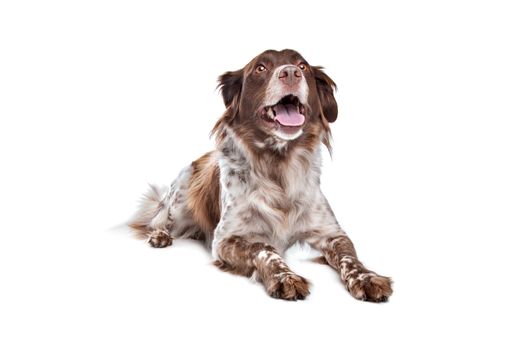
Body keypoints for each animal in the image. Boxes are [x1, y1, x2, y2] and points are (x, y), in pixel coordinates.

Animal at [130, 48, 390, 300]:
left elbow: (349, 257)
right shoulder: (226, 238)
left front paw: (366, 278)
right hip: (180, 199)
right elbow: (264, 249)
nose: (291, 72)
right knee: (159, 220)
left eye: (303, 65)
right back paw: (160, 236)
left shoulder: (332, 233)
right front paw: (285, 277)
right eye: (260, 68)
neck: (279, 167)